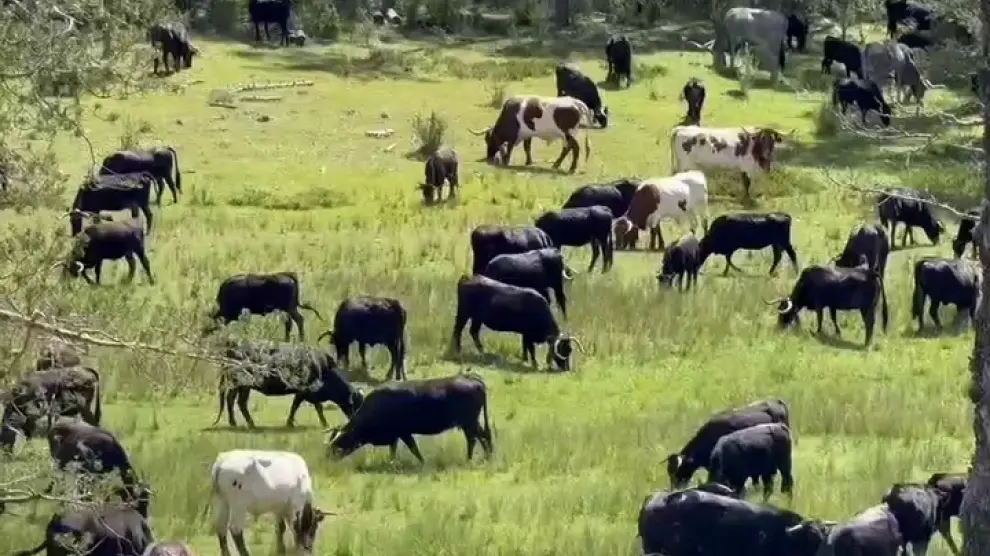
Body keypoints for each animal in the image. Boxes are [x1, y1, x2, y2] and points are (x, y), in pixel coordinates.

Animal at [212, 340, 364, 428]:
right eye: (355, 403)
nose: (355, 420)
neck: (322, 369)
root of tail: (232, 348)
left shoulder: (306, 394)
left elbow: (302, 406)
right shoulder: (305, 392)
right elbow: (305, 407)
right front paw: (324, 423)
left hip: (243, 386)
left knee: (236, 401)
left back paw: (241, 423)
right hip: (241, 385)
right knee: (235, 401)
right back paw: (244, 423)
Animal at [328, 372, 494, 462]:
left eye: (338, 443)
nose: (328, 458)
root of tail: (471, 378)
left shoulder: (403, 433)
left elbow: (413, 448)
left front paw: (422, 462)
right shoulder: (396, 435)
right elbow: (393, 449)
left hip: (468, 423)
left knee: (474, 439)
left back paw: (470, 458)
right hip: (472, 423)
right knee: (483, 436)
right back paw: (486, 457)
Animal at [454, 272, 584, 370]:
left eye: (570, 350)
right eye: (562, 350)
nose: (567, 369)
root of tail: (468, 277)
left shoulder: (525, 334)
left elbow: (525, 347)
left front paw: (525, 360)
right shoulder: (529, 335)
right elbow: (531, 349)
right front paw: (535, 364)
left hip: (477, 318)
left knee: (473, 332)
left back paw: (481, 351)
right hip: (463, 314)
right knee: (458, 330)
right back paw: (458, 351)